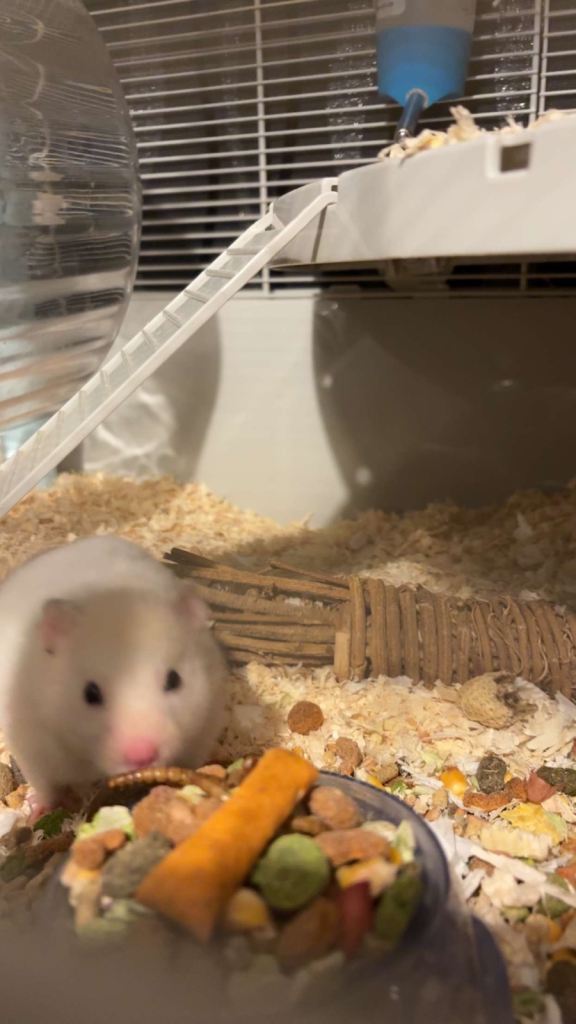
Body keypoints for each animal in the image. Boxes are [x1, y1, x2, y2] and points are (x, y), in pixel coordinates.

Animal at [0, 536, 228, 812]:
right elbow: (45, 787)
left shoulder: (206, 725)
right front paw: (36, 811)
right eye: (90, 694)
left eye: (174, 680)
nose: (143, 757)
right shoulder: (32, 746)